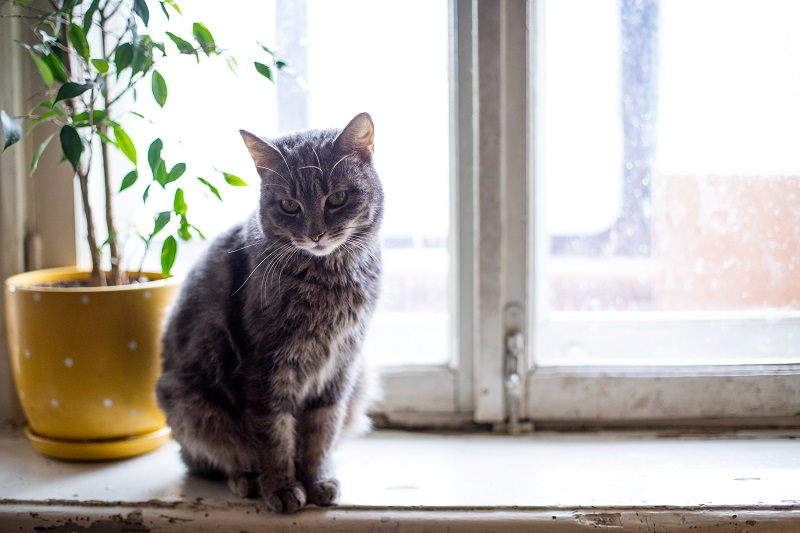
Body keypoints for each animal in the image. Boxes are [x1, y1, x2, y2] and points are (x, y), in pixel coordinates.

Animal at [157, 111, 384, 512]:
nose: (315, 234)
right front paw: (281, 487)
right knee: (212, 458)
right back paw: (247, 479)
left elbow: (321, 431)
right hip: (189, 403)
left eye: (337, 198)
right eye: (289, 205)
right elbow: (274, 434)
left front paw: (317, 479)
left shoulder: (340, 368)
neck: (329, 282)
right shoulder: (265, 367)